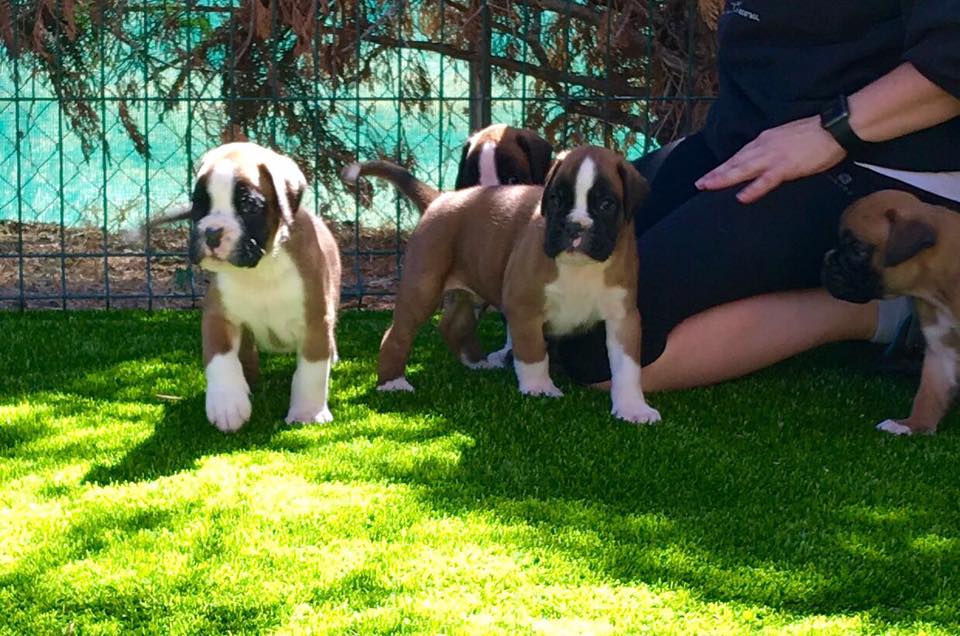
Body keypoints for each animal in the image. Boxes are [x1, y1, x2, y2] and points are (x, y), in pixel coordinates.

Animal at [155, 142, 341, 432]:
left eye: (249, 206)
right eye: (199, 204)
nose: (212, 232)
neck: (260, 269)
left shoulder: (315, 321)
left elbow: (311, 370)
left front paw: (307, 413)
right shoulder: (218, 316)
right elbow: (220, 359)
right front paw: (227, 405)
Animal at [346, 145, 660, 424]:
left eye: (606, 204)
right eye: (556, 199)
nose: (575, 226)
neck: (580, 269)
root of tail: (442, 199)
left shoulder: (623, 317)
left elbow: (628, 366)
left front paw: (633, 407)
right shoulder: (523, 306)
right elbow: (533, 352)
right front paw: (539, 389)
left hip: (473, 289)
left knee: (453, 324)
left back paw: (477, 363)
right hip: (423, 288)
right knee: (397, 334)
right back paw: (393, 383)